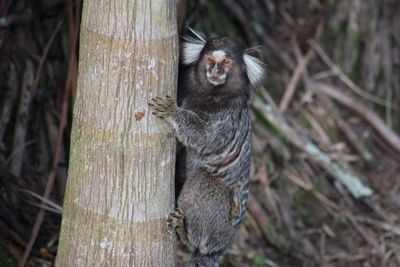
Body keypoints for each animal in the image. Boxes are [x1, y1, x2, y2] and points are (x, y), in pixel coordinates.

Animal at [148, 30, 264, 266]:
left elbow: (203, 137)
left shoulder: (226, 119)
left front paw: (173, 111)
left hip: (219, 224)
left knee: (202, 181)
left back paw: (184, 233)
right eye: (210, 60)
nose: (215, 71)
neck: (212, 93)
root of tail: (224, 243)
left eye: (226, 62)